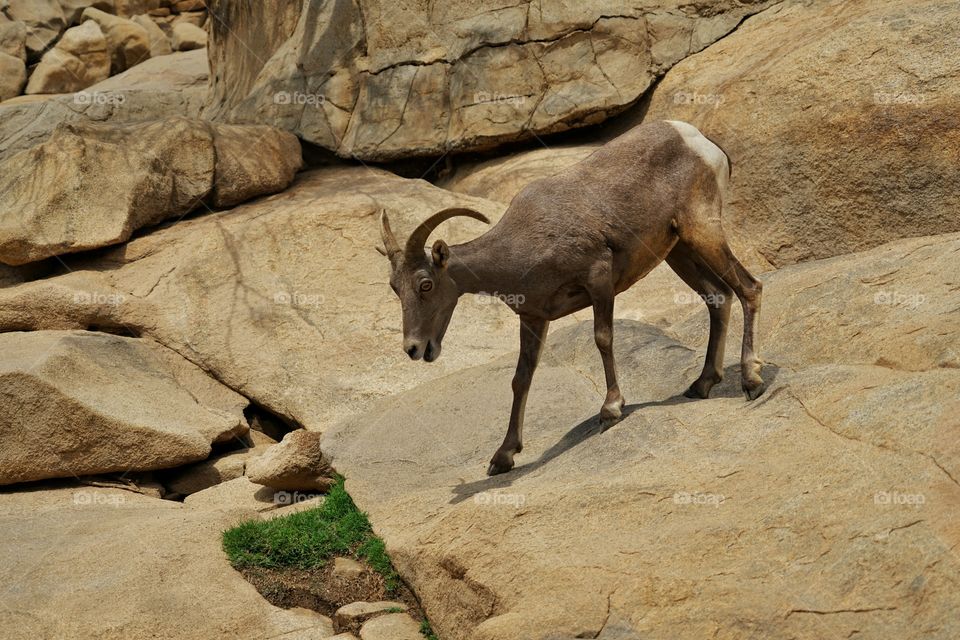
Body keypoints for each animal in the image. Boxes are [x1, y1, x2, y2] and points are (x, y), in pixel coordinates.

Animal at [378, 120, 760, 476]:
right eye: (394, 287)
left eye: (425, 284)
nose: (413, 348)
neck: (521, 247)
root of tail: (698, 140)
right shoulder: (533, 318)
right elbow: (521, 378)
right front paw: (503, 457)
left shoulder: (598, 278)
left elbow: (602, 339)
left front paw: (611, 410)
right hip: (678, 249)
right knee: (718, 297)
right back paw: (702, 384)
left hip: (702, 230)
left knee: (749, 288)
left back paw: (751, 382)